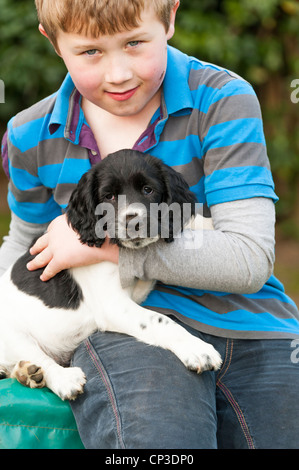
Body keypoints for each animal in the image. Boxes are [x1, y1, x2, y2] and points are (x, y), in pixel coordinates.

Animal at [0, 151, 220, 400]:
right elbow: (159, 319)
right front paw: (198, 349)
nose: (133, 222)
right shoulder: (113, 305)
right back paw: (60, 378)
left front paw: (209, 223)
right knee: (38, 356)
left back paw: (26, 372)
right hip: (12, 331)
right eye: (109, 196)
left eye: (148, 190)